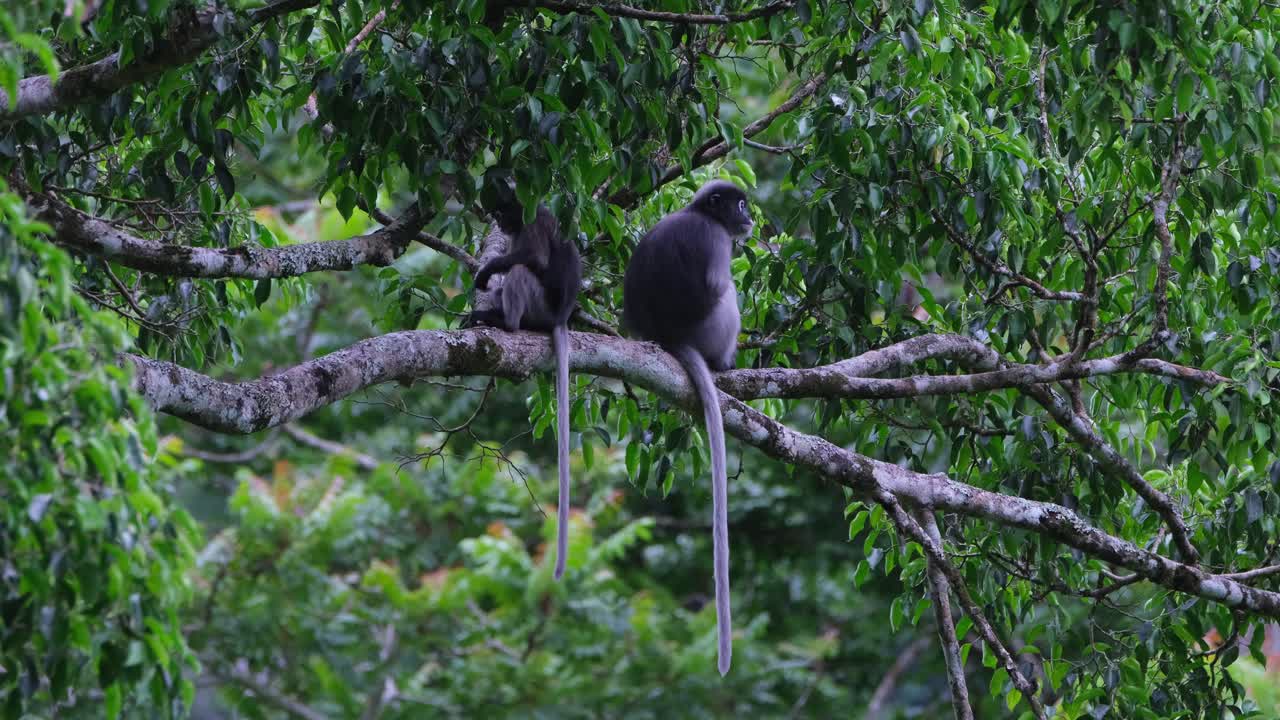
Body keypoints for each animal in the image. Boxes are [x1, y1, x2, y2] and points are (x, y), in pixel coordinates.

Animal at [467, 185, 582, 581]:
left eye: (503, 210)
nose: (501, 222)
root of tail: (560, 317)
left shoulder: (534, 220)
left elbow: (532, 257)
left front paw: (486, 271)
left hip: (538, 305)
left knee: (519, 270)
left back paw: (506, 323)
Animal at [621, 179, 753, 676]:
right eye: (739, 204)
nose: (748, 218)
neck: (701, 215)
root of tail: (670, 338)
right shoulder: (714, 240)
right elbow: (716, 288)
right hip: (710, 329)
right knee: (726, 295)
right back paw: (723, 362)